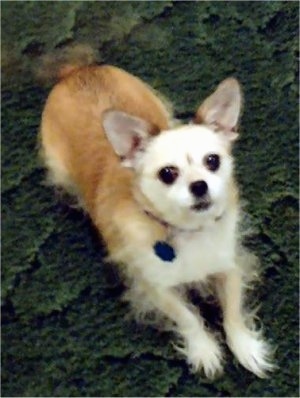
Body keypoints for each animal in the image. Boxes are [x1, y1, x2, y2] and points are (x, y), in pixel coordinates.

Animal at [39, 53, 274, 380]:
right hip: (59, 171)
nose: (199, 185)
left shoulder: (231, 266)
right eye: (167, 174)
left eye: (213, 161)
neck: (187, 231)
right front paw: (203, 349)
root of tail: (75, 71)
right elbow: (188, 317)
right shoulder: (155, 287)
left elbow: (233, 311)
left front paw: (245, 346)